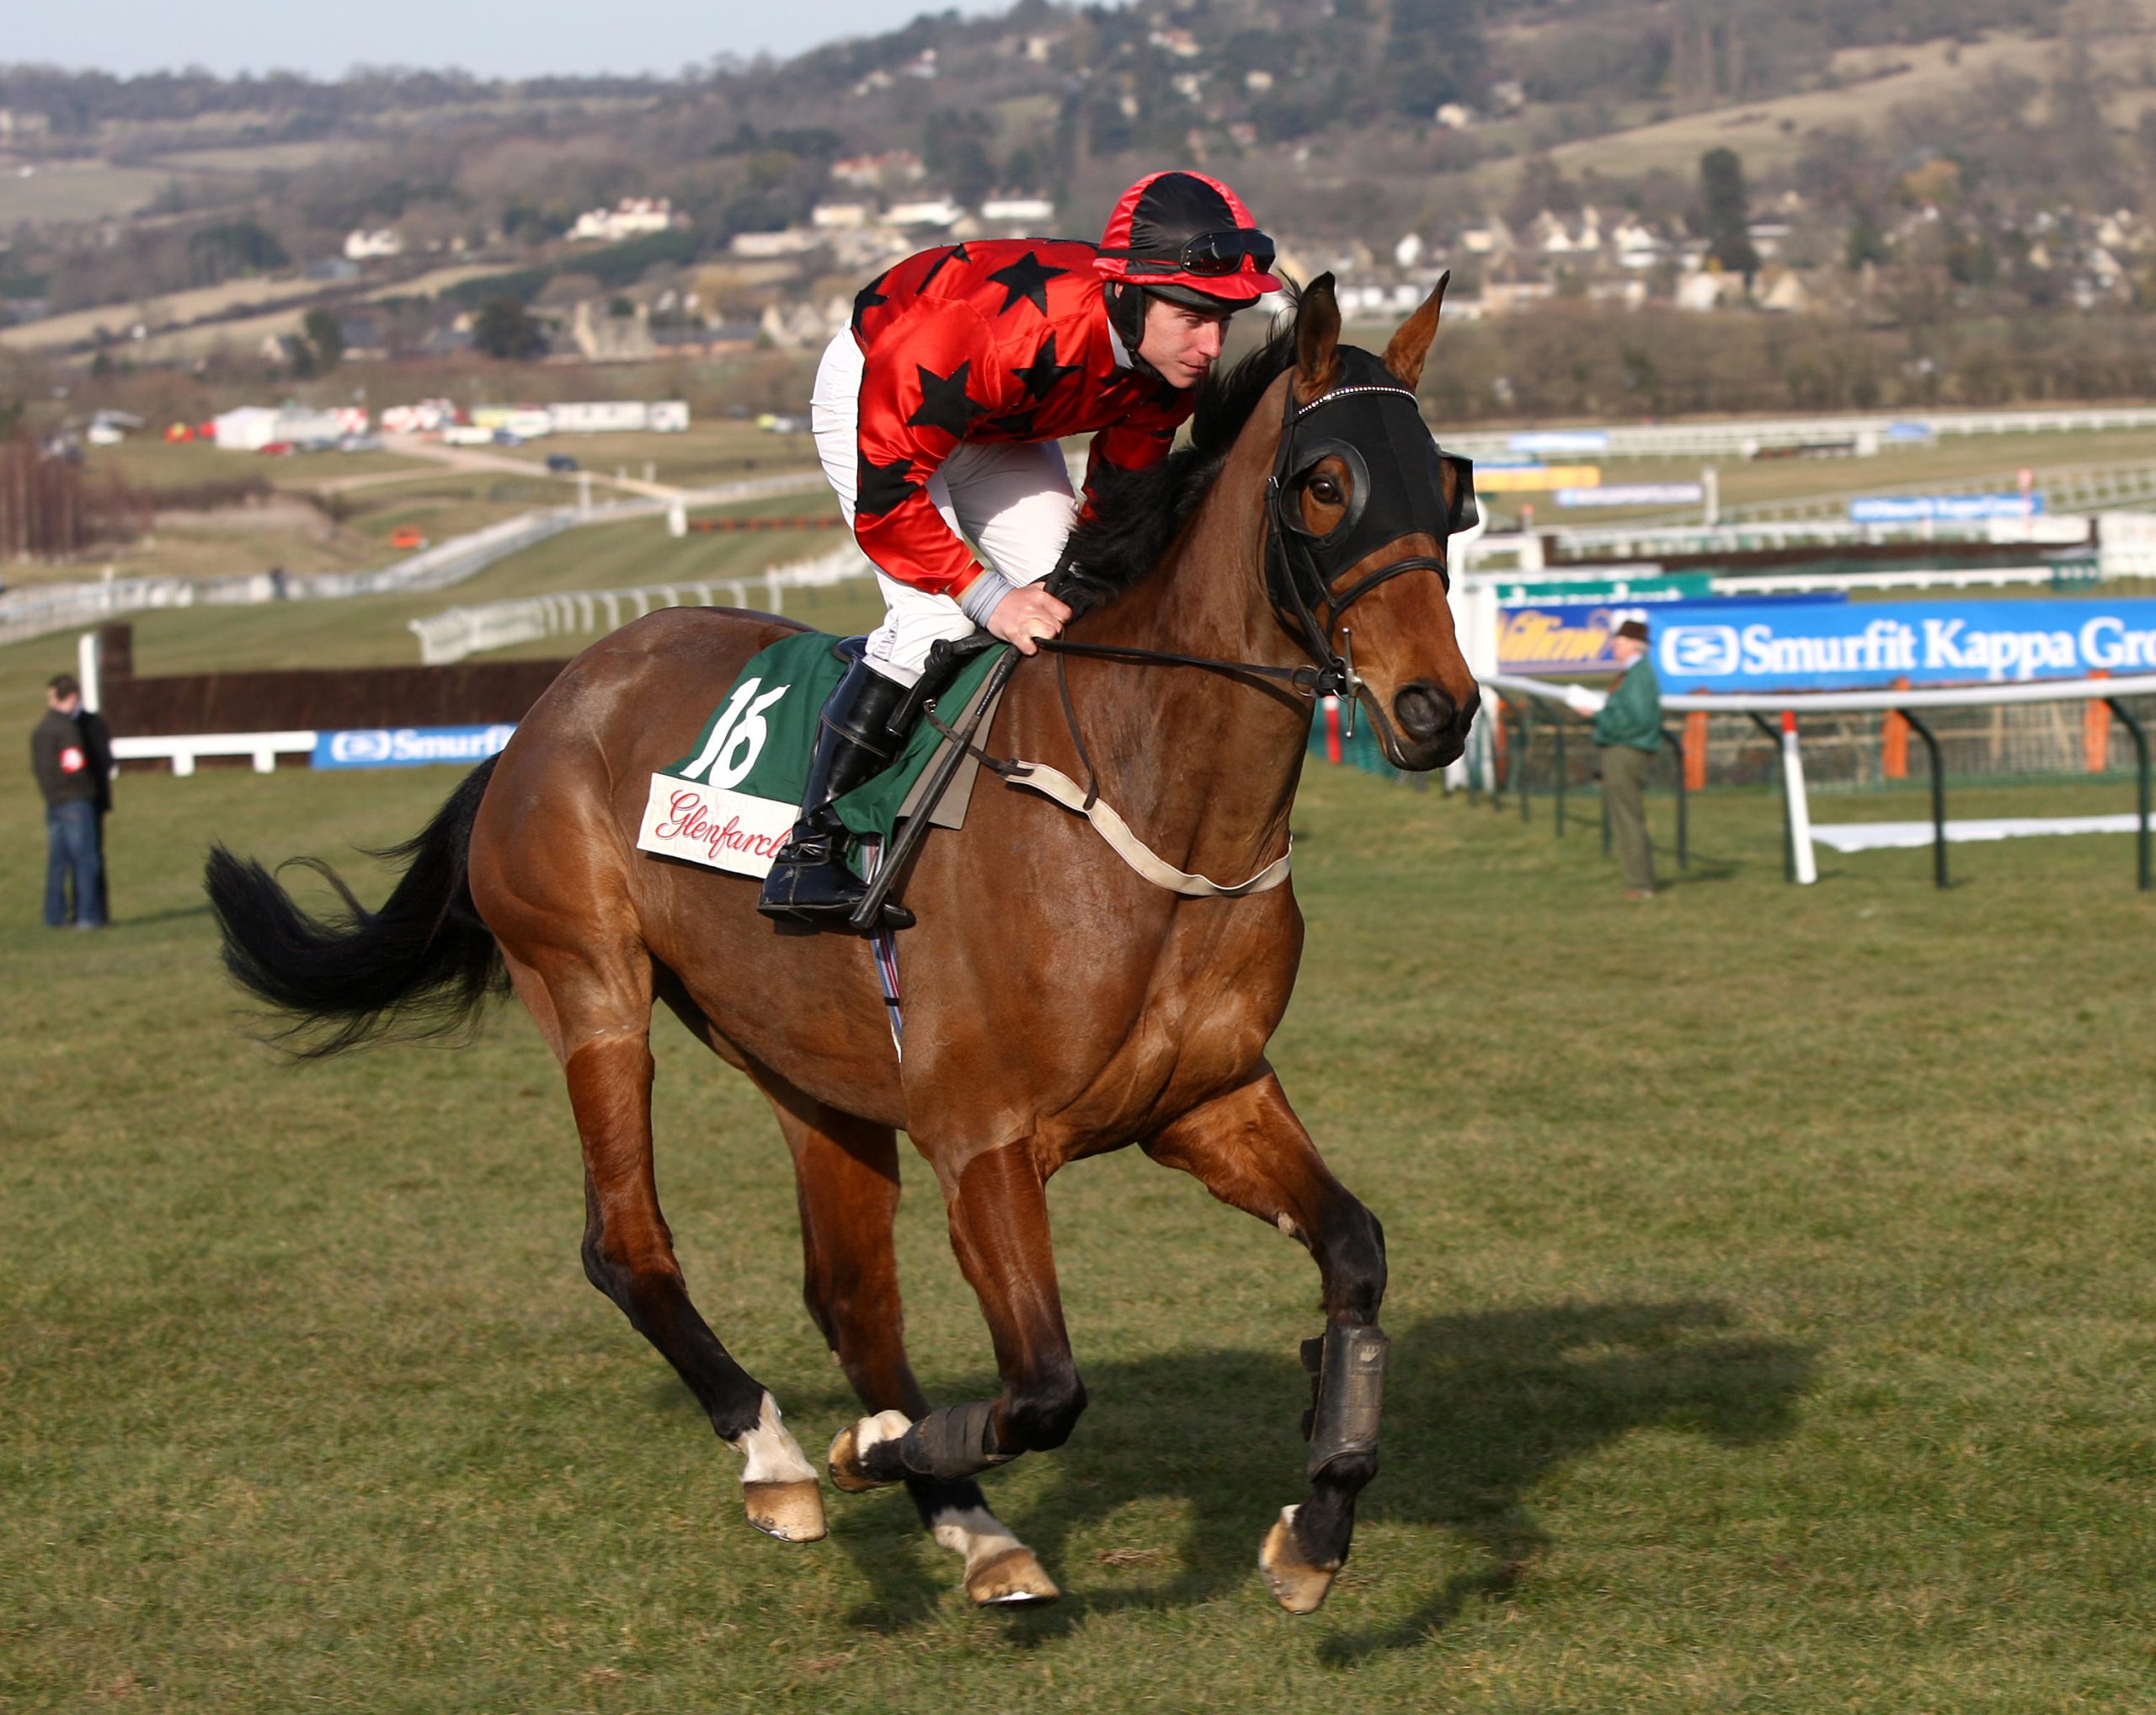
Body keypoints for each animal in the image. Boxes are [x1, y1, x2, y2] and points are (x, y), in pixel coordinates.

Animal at [204, 275, 1481, 1614]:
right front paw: (874, 1450)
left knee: (851, 1295)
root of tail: (548, 706)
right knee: (629, 1244)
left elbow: (1354, 1251)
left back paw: (973, 1526)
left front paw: (1320, 1514)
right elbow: (1044, 1388)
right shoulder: (982, 1142)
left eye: (1450, 485)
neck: (1145, 793)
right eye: (1325, 483)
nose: (1438, 709)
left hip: (810, 1066)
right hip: (588, 986)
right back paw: (783, 1457)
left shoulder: (1204, 1098)